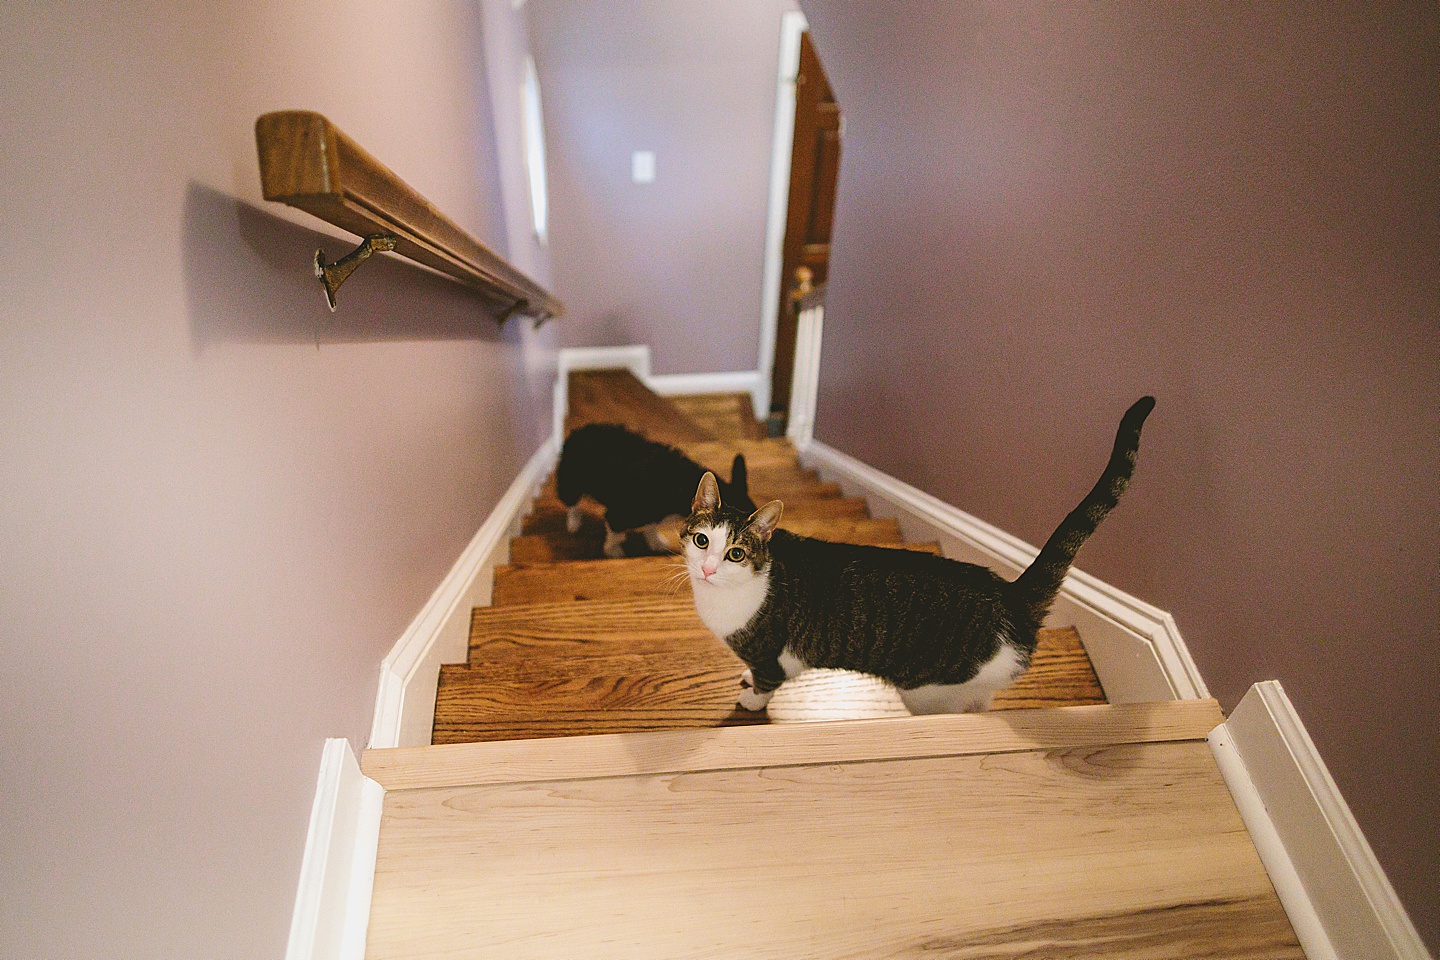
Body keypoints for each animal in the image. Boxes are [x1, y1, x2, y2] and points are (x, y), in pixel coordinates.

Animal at [555, 423, 760, 558]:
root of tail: (579, 431)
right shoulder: (618, 515)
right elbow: (616, 535)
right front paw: (614, 552)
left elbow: (651, 527)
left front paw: (656, 542)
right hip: (570, 483)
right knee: (572, 504)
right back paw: (574, 524)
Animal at [679, 397, 1152, 713]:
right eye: (702, 542)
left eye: (736, 553)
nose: (707, 568)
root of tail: (1010, 597)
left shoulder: (770, 656)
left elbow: (766, 681)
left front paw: (751, 700)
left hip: (929, 691)